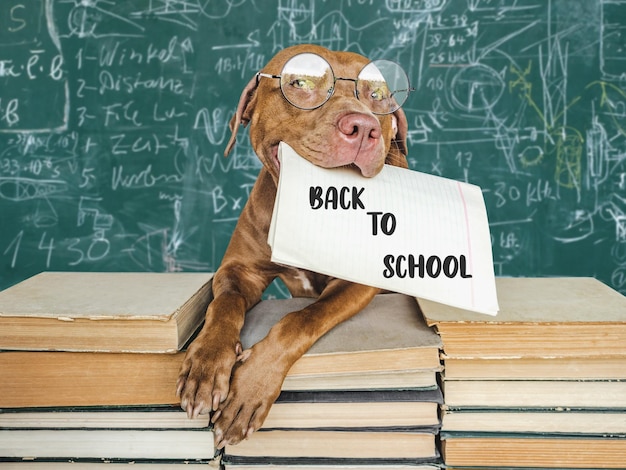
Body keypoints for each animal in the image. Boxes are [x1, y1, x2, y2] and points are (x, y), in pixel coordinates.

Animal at [176, 44, 410, 448]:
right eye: (299, 82)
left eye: (378, 95)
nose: (363, 127)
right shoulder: (238, 270)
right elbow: (224, 305)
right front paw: (205, 362)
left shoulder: (356, 285)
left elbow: (301, 319)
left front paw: (250, 388)